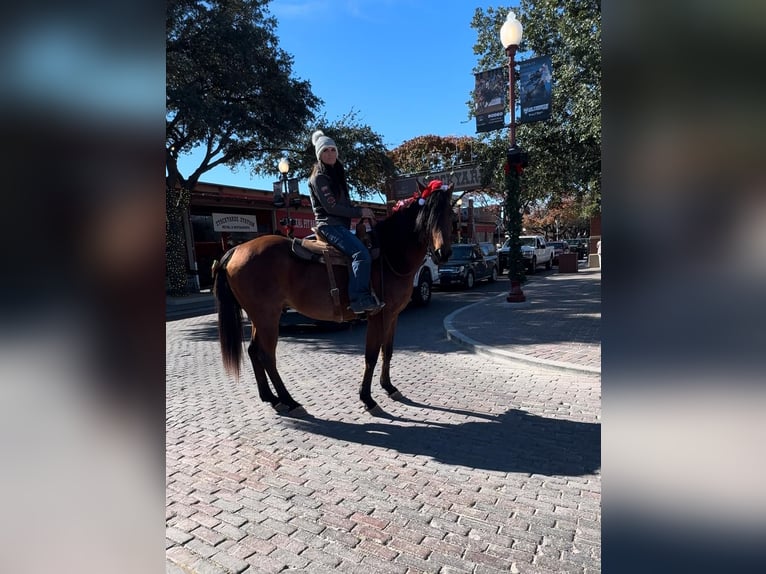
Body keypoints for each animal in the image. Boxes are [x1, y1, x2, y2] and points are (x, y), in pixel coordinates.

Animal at [212, 182, 456, 416]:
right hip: (267, 318)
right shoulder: (378, 316)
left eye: (451, 214)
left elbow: (387, 351)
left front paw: (389, 387)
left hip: (260, 317)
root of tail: (236, 250)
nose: (442, 253)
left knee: (254, 351)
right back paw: (290, 401)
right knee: (266, 355)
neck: (389, 255)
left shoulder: (393, 315)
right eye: (428, 215)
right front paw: (367, 398)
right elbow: (371, 355)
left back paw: (271, 398)